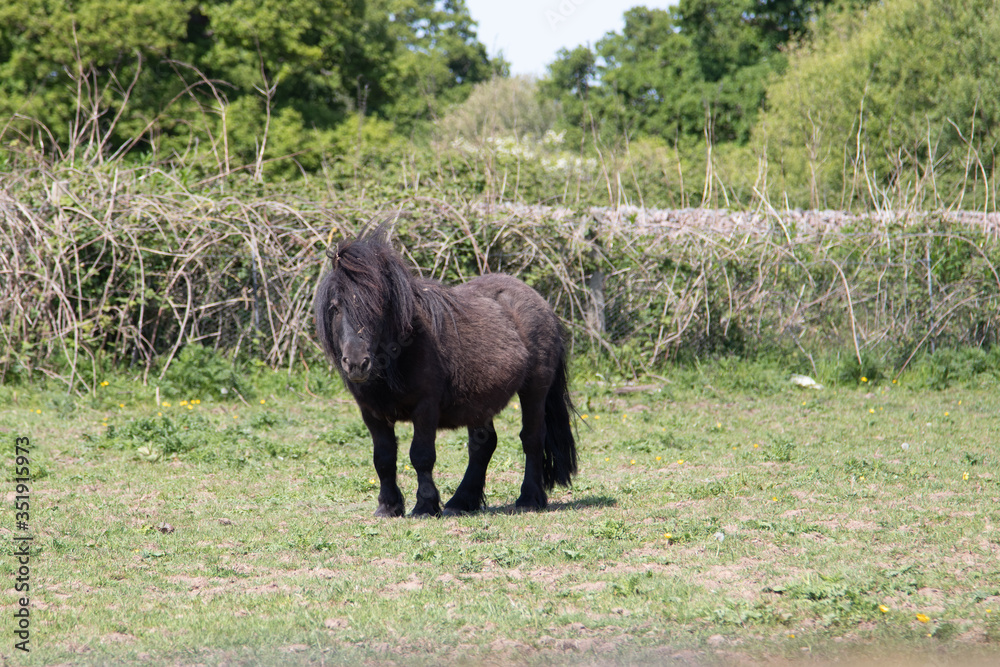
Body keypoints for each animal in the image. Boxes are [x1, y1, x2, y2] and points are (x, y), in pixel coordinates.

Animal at [312, 228, 580, 516]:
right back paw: (461, 501)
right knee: (483, 446)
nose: (356, 363)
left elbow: (421, 455)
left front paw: (425, 506)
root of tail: (541, 302)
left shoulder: (425, 407)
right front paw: (388, 506)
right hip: (481, 401)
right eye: (335, 307)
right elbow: (383, 458)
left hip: (535, 389)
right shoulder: (371, 413)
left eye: (377, 306)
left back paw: (529, 498)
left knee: (532, 438)